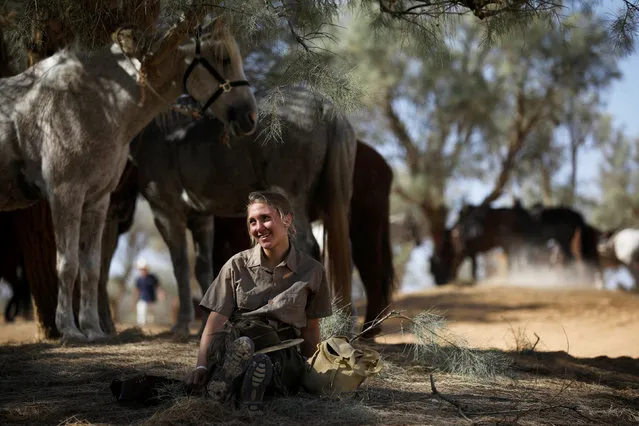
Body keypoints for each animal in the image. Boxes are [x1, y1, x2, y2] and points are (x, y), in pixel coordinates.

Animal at [1, 10, 260, 342]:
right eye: (224, 58)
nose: (250, 116)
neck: (98, 100)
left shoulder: (97, 200)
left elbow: (91, 267)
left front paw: (92, 329)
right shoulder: (65, 194)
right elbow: (67, 264)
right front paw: (69, 330)